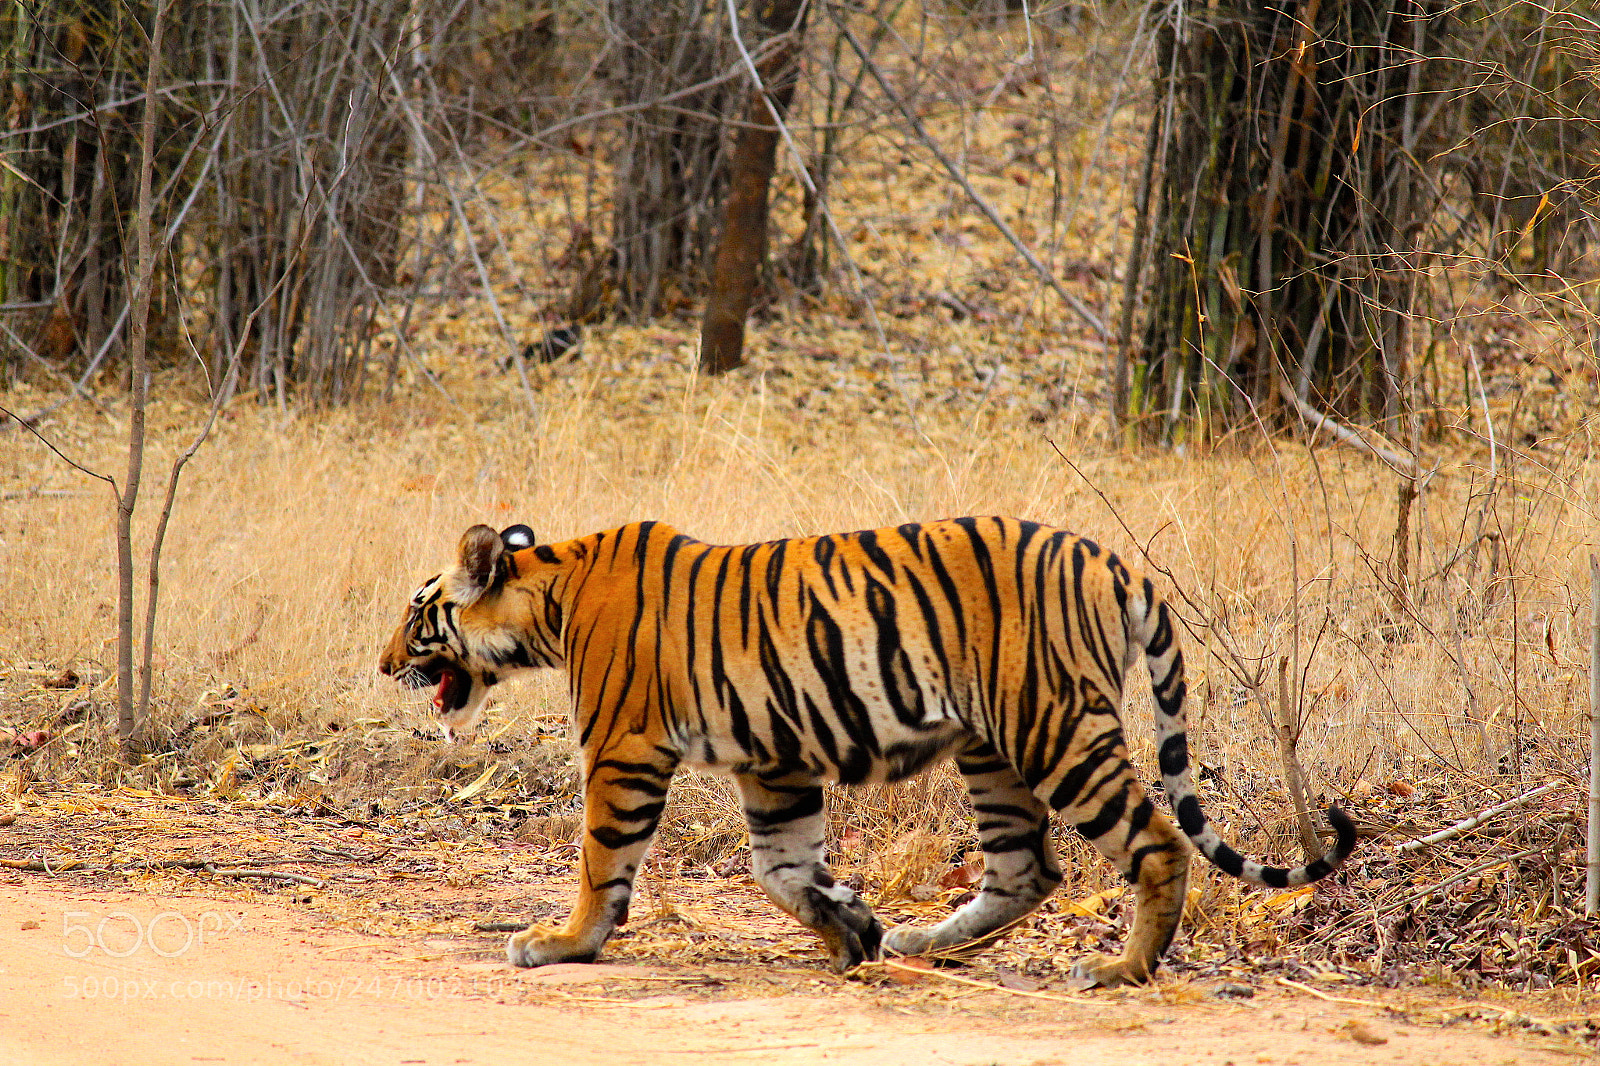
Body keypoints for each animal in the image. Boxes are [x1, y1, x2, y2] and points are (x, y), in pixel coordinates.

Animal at [379, 517, 1354, 986]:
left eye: (416, 614)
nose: (383, 664)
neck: (550, 595)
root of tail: (1116, 563)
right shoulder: (774, 763)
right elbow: (781, 871)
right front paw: (853, 927)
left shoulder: (623, 750)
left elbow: (600, 862)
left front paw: (562, 942)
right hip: (993, 752)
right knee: (1027, 869)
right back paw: (927, 940)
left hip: (1056, 731)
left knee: (1156, 843)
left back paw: (1122, 969)